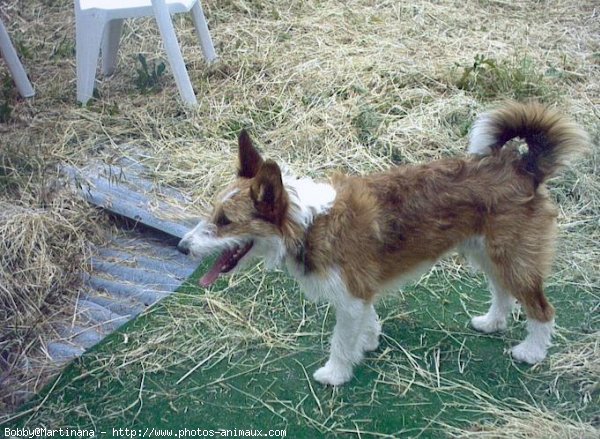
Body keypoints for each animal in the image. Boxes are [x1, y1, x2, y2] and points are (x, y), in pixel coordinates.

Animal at [177, 102, 584, 384]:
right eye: (213, 211)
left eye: (224, 221)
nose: (182, 248)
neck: (309, 223)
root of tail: (523, 166)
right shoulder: (359, 293)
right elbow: (366, 321)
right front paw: (369, 341)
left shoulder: (351, 295)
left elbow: (340, 340)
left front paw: (335, 373)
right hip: (488, 254)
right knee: (502, 292)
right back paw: (492, 322)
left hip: (513, 259)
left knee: (542, 310)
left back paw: (531, 352)